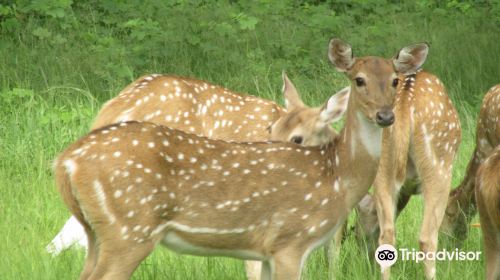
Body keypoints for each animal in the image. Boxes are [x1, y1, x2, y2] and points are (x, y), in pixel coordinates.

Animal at [54, 38, 430, 278]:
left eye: (395, 80)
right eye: (359, 80)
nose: (385, 115)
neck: (336, 173)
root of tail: (65, 162)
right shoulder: (286, 244)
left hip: (100, 233)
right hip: (129, 232)